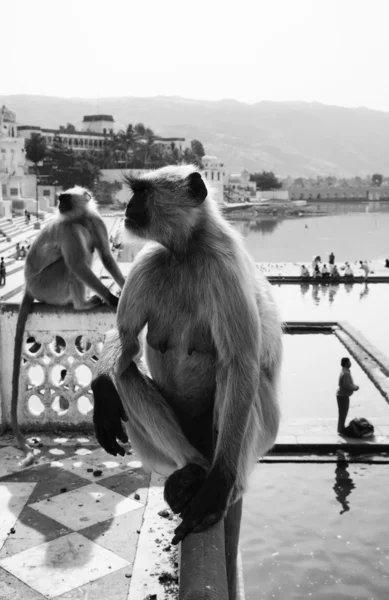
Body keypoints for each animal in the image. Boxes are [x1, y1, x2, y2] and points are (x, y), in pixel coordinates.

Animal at [12, 185, 124, 466]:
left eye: (65, 199)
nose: (59, 204)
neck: (79, 217)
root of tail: (29, 285)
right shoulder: (68, 228)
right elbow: (77, 264)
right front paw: (112, 298)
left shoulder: (95, 220)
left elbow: (106, 256)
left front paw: (122, 286)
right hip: (48, 283)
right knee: (72, 263)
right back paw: (83, 304)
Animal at [90, 166, 282, 548]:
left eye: (142, 192)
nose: (127, 208)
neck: (186, 251)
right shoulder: (148, 260)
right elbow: (125, 338)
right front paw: (101, 387)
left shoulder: (224, 264)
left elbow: (241, 361)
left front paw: (216, 492)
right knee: (124, 373)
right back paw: (191, 471)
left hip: (256, 433)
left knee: (238, 373)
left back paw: (223, 484)